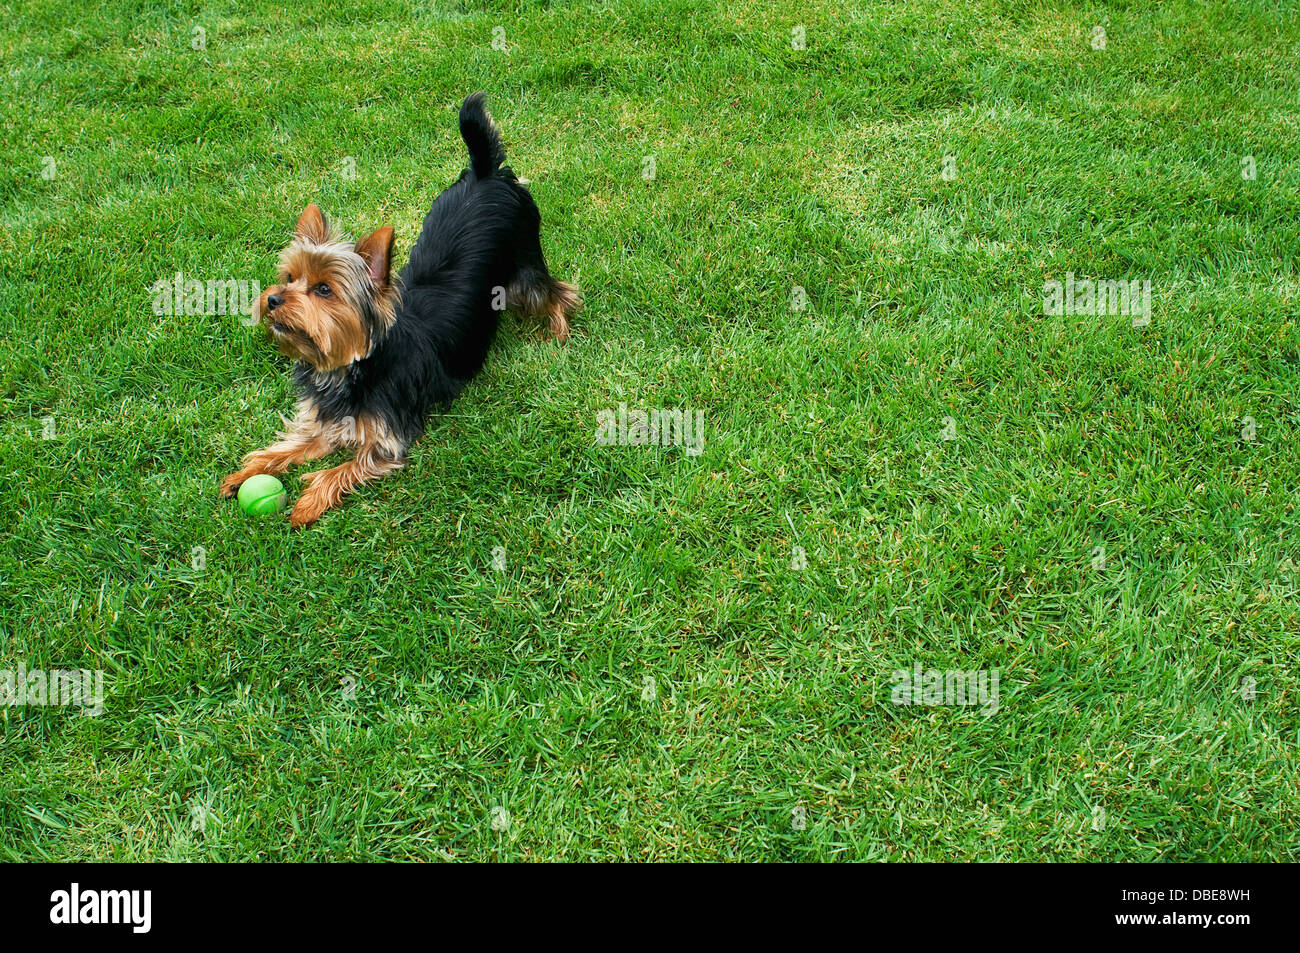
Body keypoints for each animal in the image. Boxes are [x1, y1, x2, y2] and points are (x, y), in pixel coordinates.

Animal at [222, 92, 579, 525]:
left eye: (324, 289)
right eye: (289, 278)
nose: (272, 299)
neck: (350, 368)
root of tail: (484, 174)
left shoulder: (386, 440)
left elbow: (339, 469)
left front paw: (306, 504)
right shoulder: (326, 422)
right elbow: (289, 446)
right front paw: (247, 473)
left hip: (524, 267)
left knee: (558, 292)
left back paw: (558, 332)